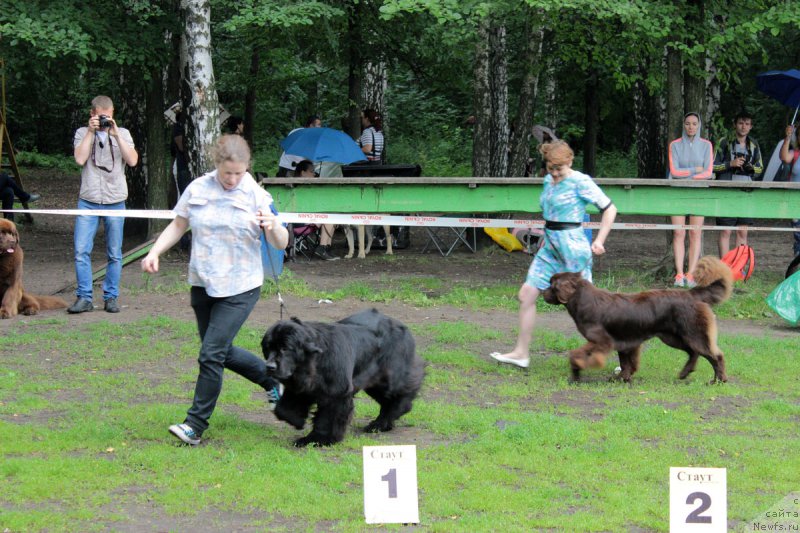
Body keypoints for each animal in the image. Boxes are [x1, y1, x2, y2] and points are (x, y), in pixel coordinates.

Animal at [260, 308, 424, 444]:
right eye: (268, 348)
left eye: (285, 348)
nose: (270, 367)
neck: (314, 362)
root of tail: (402, 325)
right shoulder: (301, 387)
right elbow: (283, 409)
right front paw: (297, 421)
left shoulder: (336, 393)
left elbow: (327, 419)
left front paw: (318, 439)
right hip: (373, 381)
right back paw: (381, 424)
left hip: (389, 377)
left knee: (405, 388)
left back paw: (391, 415)